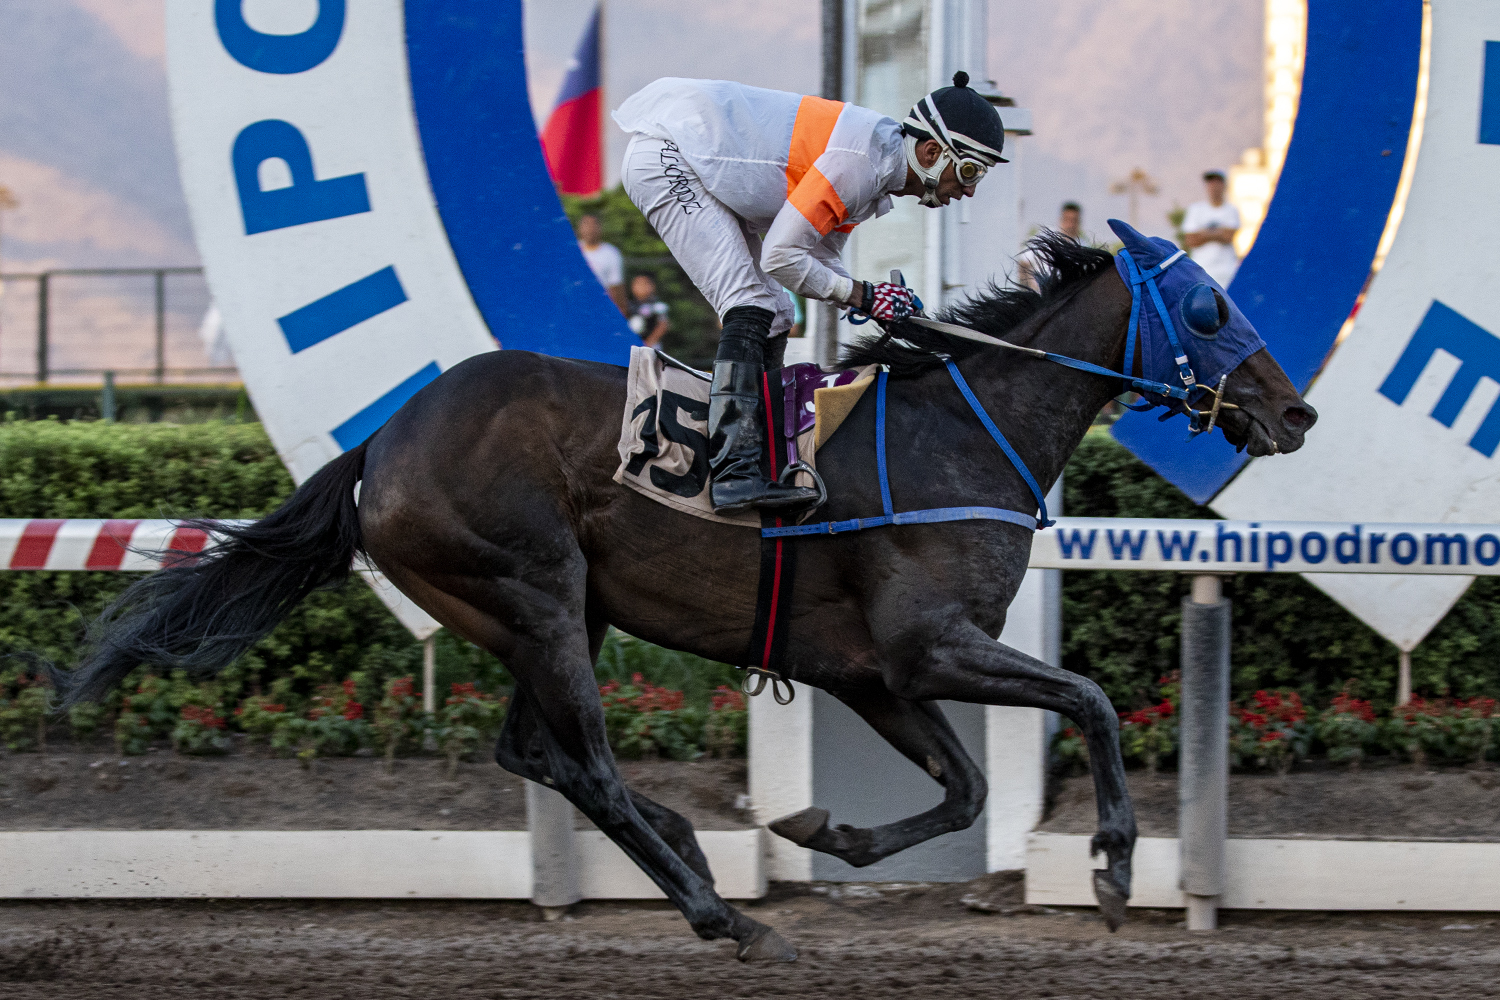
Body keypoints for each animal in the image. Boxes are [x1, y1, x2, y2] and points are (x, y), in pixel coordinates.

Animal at [55, 224, 1316, 962]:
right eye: (1207, 309)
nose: (1294, 410)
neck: (961, 436)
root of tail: (384, 440)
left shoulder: (869, 674)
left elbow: (961, 793)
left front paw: (820, 827)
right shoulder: (924, 648)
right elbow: (1091, 698)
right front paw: (1111, 863)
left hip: (545, 613)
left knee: (536, 751)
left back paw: (695, 857)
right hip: (536, 594)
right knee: (590, 765)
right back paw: (720, 912)